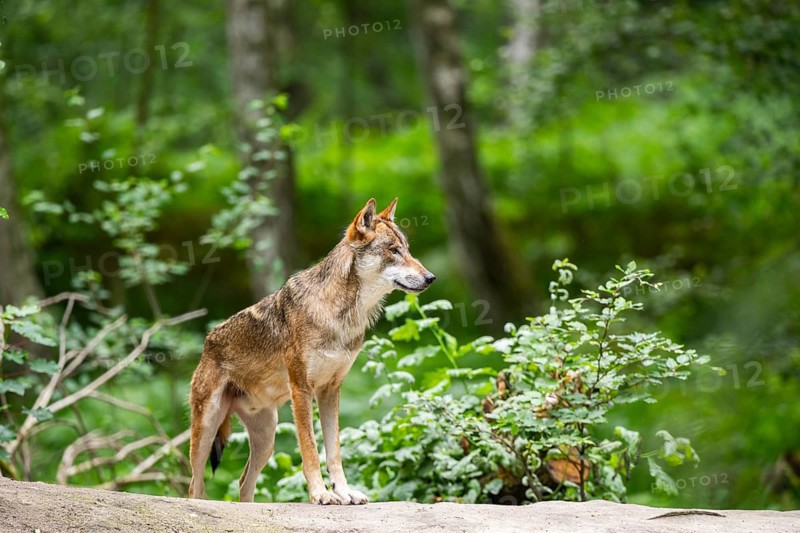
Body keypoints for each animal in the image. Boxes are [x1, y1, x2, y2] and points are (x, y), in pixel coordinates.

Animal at [188, 197, 435, 504]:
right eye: (393, 250)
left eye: (407, 249)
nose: (431, 277)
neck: (342, 316)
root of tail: (208, 342)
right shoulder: (301, 389)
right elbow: (310, 450)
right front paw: (321, 494)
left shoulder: (330, 390)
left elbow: (334, 452)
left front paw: (345, 493)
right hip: (207, 430)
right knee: (195, 486)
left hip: (267, 439)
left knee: (243, 483)